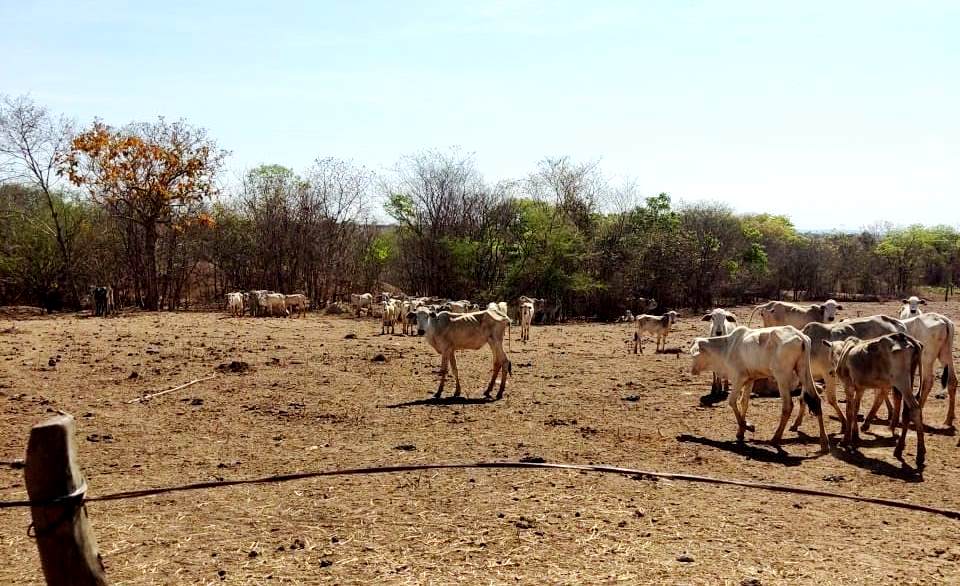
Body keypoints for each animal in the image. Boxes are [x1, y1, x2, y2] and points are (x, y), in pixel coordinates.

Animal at [688, 322, 824, 450]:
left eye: (694, 355)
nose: (692, 370)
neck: (727, 348)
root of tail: (801, 336)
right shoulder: (749, 380)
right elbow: (744, 402)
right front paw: (740, 432)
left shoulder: (738, 379)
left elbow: (732, 401)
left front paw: (748, 426)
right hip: (804, 370)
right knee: (816, 400)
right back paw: (824, 442)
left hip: (782, 376)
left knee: (787, 406)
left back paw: (775, 438)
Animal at [824, 334, 924, 466]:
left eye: (830, 354)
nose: (831, 372)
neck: (844, 352)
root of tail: (905, 337)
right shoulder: (860, 389)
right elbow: (856, 408)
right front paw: (855, 434)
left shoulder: (848, 386)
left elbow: (849, 411)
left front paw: (845, 439)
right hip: (908, 380)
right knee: (907, 412)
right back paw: (899, 448)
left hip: (901, 382)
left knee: (915, 409)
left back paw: (920, 454)